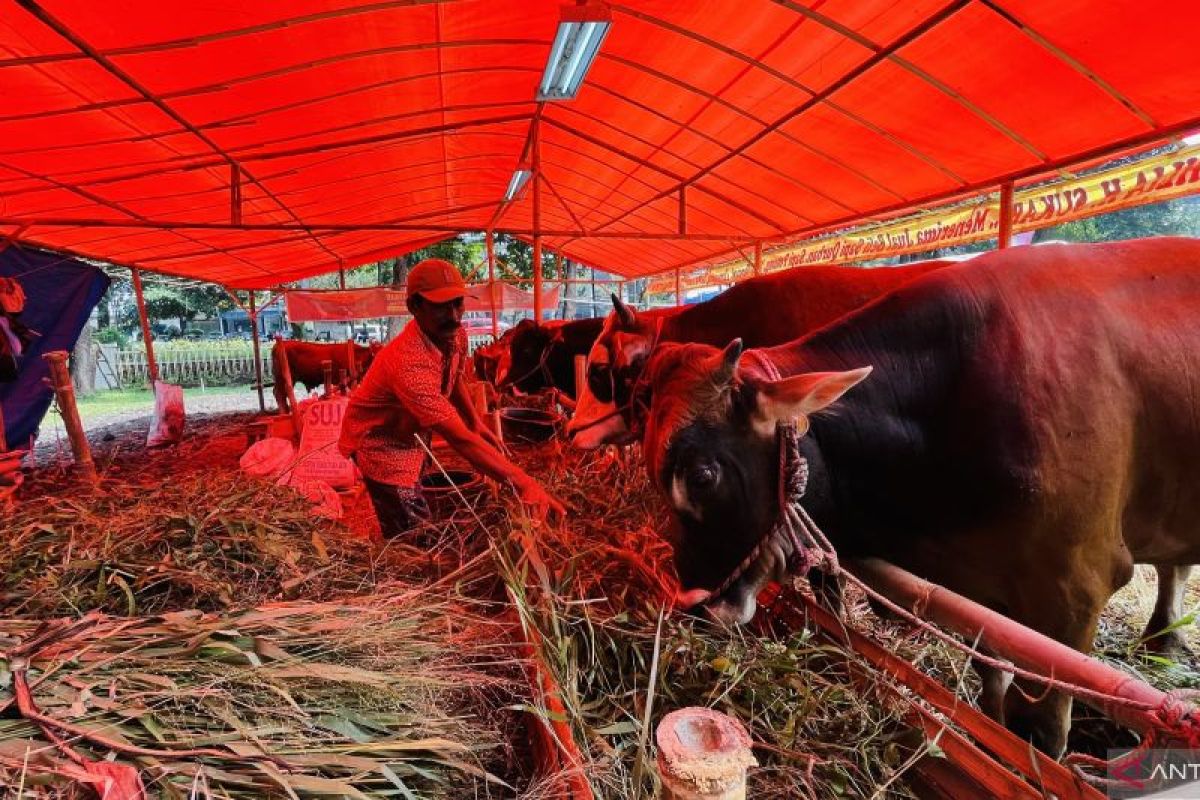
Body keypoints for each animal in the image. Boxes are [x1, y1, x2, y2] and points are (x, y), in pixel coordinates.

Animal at [643, 239, 1200, 758]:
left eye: (702, 475)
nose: (693, 605)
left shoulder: (1074, 591)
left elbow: (1037, 732)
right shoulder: (979, 591)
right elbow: (990, 684)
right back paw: (1163, 639)